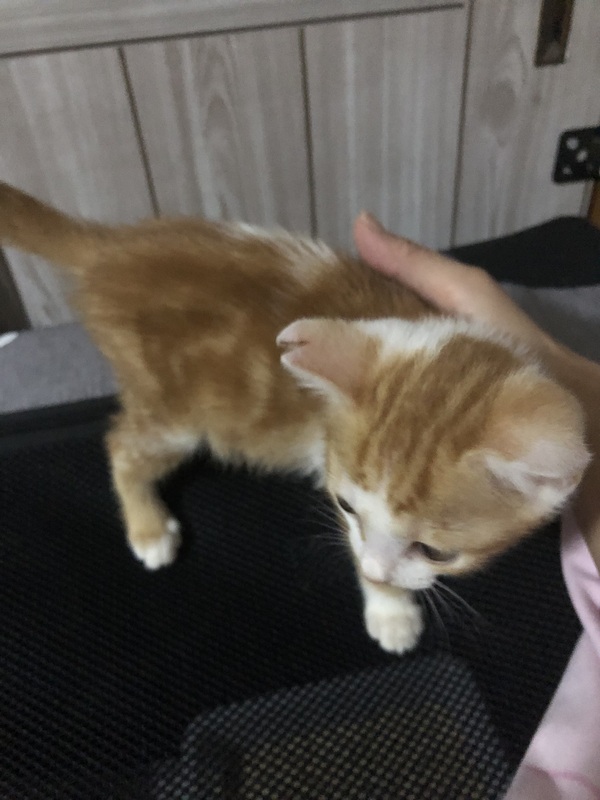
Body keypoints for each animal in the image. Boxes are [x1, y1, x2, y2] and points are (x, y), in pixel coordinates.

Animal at [0, 182, 590, 654]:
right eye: (345, 506)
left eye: (437, 551)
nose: (377, 570)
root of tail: (112, 248)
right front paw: (390, 609)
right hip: (174, 411)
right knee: (123, 446)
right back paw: (148, 530)